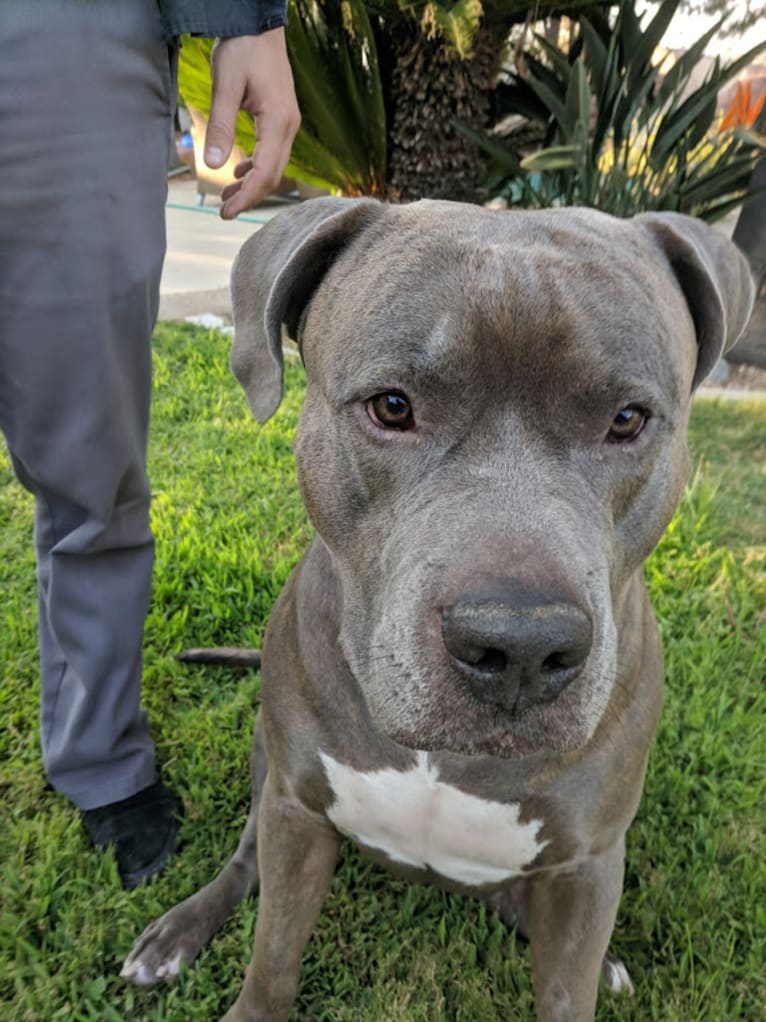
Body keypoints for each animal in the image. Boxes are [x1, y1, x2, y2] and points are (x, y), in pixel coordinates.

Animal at [123, 199, 751, 1021]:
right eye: (392, 406)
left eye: (627, 419)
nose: (518, 648)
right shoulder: (299, 810)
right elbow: (273, 958)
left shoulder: (588, 862)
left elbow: (567, 987)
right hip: (270, 770)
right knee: (245, 854)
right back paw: (178, 932)